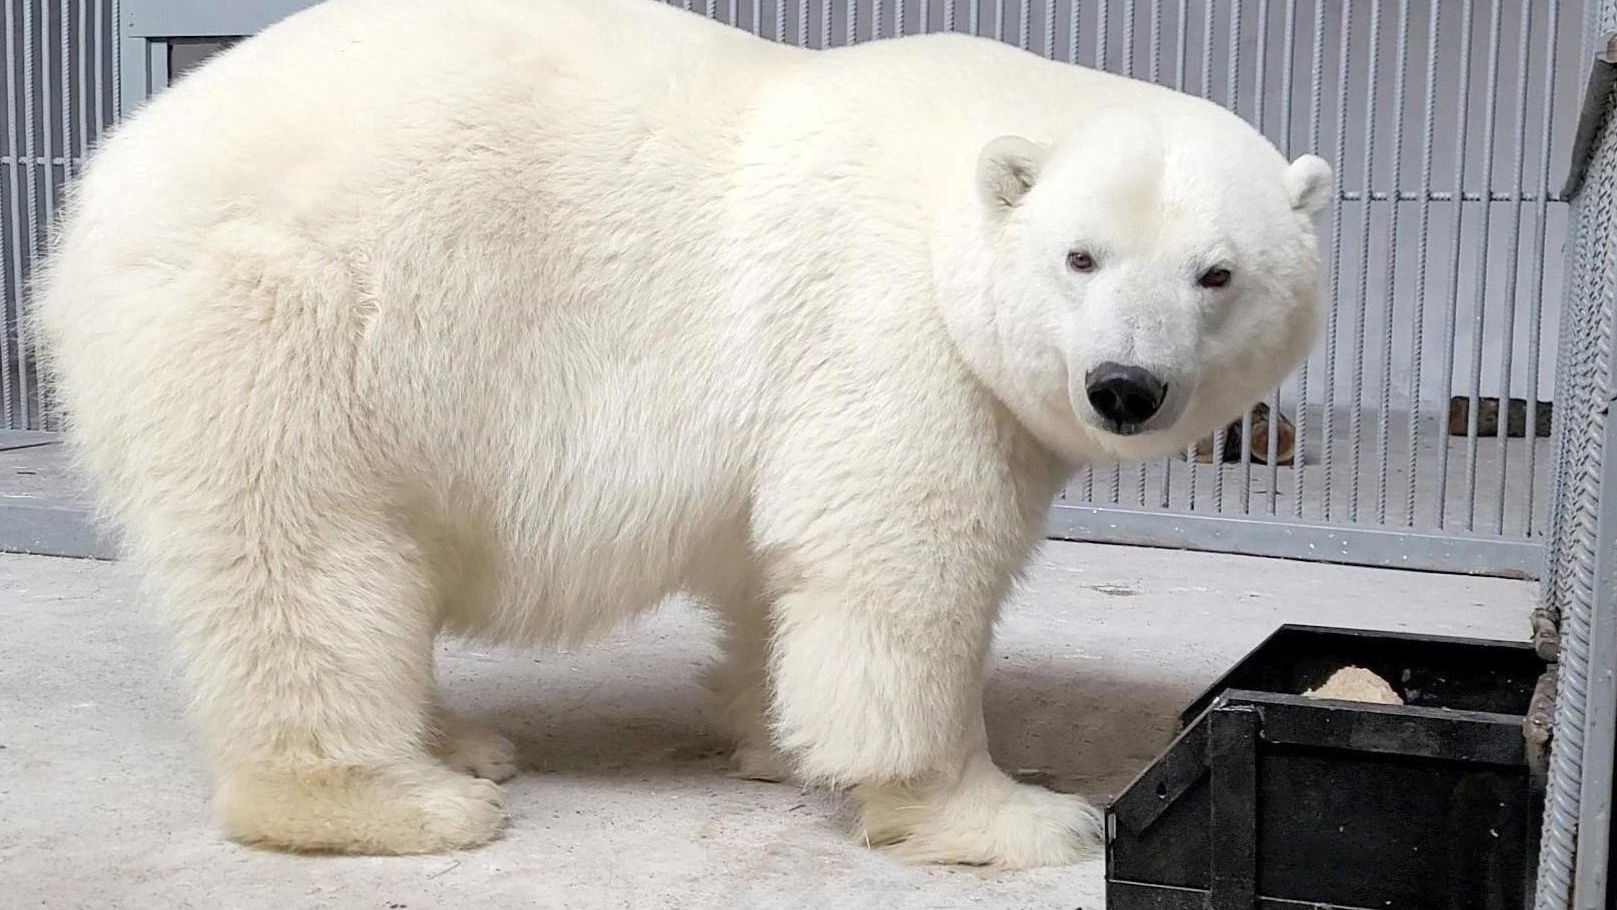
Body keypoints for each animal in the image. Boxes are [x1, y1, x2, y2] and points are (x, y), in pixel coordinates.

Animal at [34, 0, 1325, 872]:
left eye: (1217, 273)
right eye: (1080, 256)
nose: (1125, 386)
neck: (951, 176)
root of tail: (97, 190)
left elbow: (780, 567)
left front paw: (775, 736)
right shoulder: (887, 327)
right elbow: (900, 567)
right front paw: (1006, 812)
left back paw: (457, 742)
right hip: (282, 321)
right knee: (302, 560)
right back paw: (401, 799)